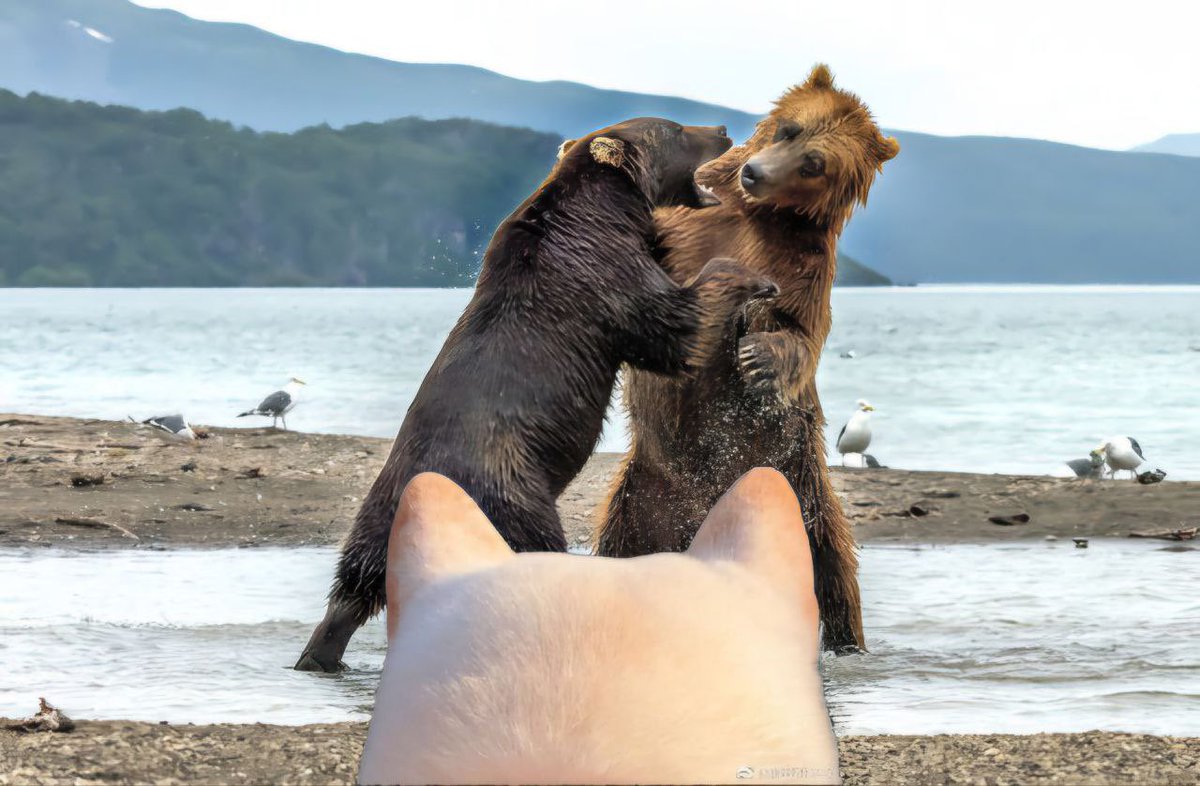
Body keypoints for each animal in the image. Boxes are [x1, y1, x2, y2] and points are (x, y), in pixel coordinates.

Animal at [294, 117, 778, 672]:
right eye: (675, 128)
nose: (720, 128)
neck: (607, 212)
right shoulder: (603, 275)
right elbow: (674, 323)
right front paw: (757, 279)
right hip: (512, 494)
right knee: (530, 553)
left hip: (379, 510)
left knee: (357, 581)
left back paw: (321, 652)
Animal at [596, 66, 900, 654]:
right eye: (789, 128)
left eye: (814, 162)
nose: (755, 172)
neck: (758, 213)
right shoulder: (686, 226)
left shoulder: (804, 268)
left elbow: (799, 334)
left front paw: (758, 355)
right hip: (638, 504)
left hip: (803, 494)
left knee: (836, 575)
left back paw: (846, 642)